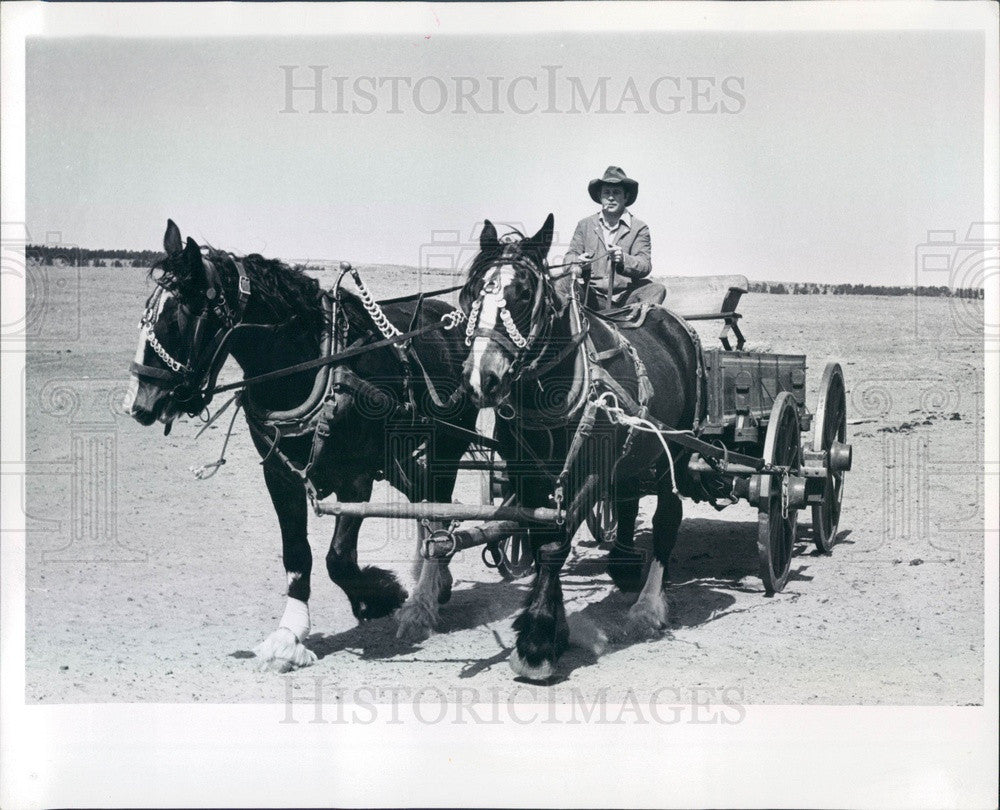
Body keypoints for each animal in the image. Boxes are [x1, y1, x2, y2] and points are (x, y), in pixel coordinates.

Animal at [125, 219, 476, 668]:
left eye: (175, 320)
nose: (139, 403)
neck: (312, 364)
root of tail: (452, 318)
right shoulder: (280, 474)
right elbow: (297, 554)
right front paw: (289, 635)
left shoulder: (356, 476)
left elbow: (338, 560)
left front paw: (381, 596)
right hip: (397, 456)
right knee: (426, 500)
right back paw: (438, 581)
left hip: (448, 444)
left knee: (437, 504)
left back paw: (422, 601)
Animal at [462, 213, 704, 676]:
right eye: (470, 292)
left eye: (523, 294)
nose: (482, 378)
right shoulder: (525, 474)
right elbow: (537, 540)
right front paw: (549, 630)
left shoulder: (591, 472)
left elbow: (554, 545)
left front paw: (537, 642)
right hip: (634, 452)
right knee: (627, 497)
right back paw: (624, 565)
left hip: (677, 449)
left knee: (667, 514)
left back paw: (648, 606)